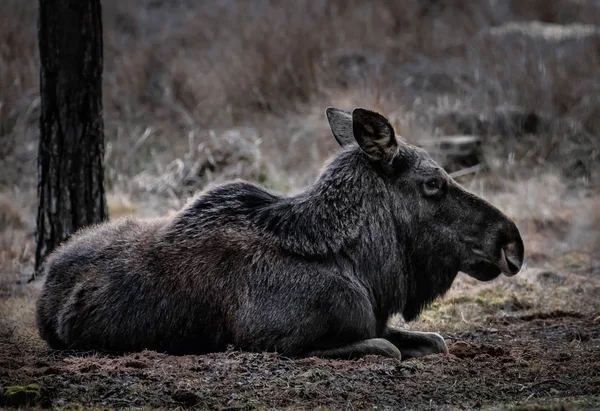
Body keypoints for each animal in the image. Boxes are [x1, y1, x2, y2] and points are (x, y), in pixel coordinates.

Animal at [38, 107, 524, 360]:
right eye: (433, 183)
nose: (511, 243)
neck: (366, 270)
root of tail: (47, 277)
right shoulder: (273, 341)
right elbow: (386, 348)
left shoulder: (379, 318)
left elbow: (434, 340)